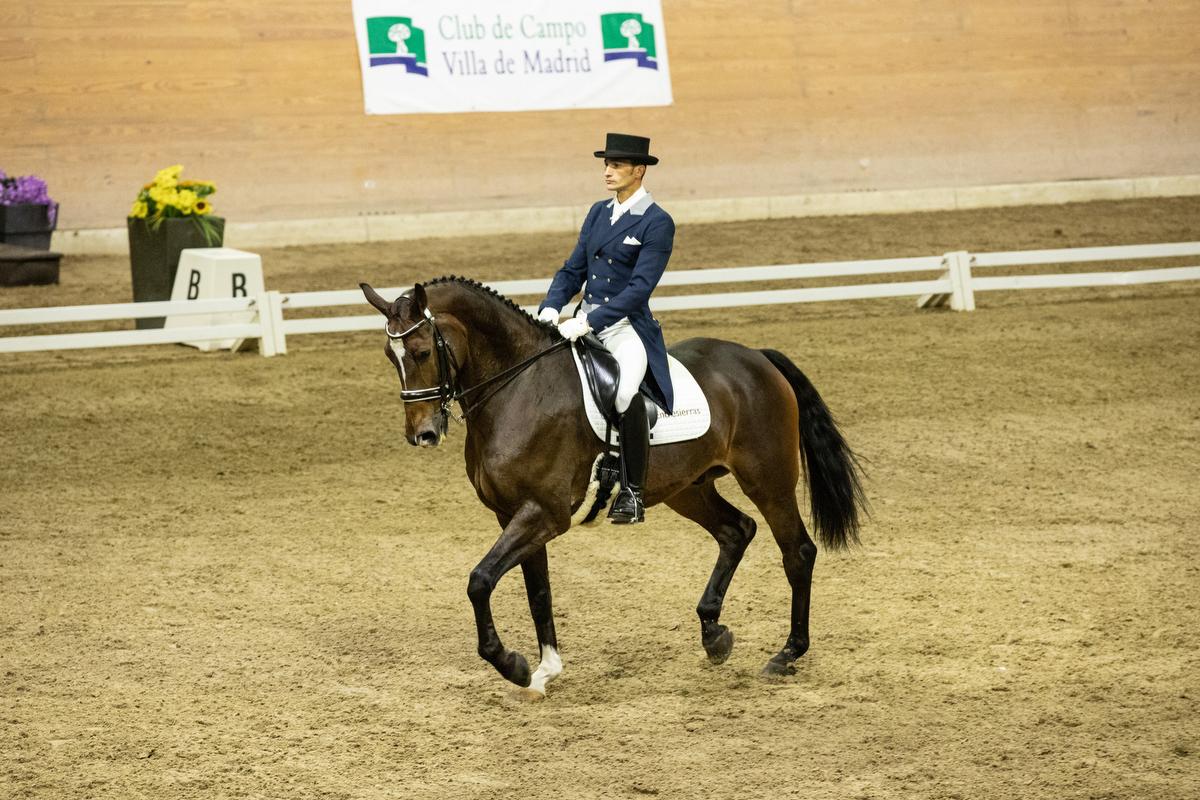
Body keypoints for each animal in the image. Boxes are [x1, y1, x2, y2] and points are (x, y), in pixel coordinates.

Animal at [355, 278, 864, 695]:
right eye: (389, 356)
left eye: (422, 352)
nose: (423, 434)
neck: (519, 387)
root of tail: (757, 357)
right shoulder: (514, 515)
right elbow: (538, 592)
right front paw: (544, 671)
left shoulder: (544, 513)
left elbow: (480, 581)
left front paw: (513, 666)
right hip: (688, 488)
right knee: (736, 531)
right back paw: (714, 635)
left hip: (768, 479)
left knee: (797, 551)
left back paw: (787, 653)